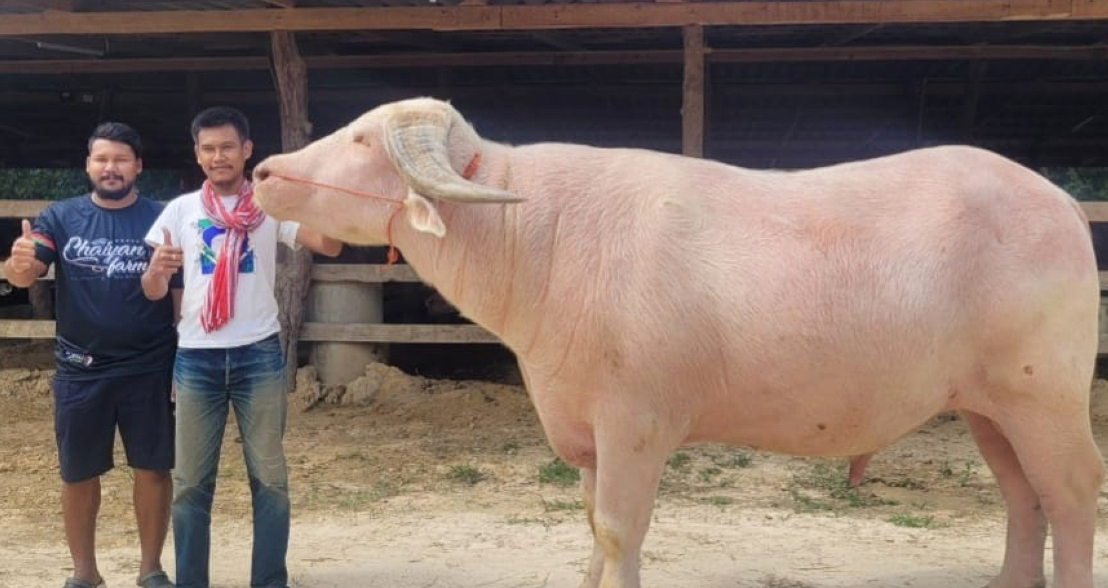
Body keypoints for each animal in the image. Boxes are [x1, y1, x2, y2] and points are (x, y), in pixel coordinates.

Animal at [251, 97, 1104, 588]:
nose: (263, 172)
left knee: (1070, 495)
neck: (539, 239)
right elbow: (592, 529)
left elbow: (621, 532)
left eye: (364, 140)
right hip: (989, 405)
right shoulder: (588, 433)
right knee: (1025, 500)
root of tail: (1062, 202)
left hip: (1046, 395)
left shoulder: (637, 425)